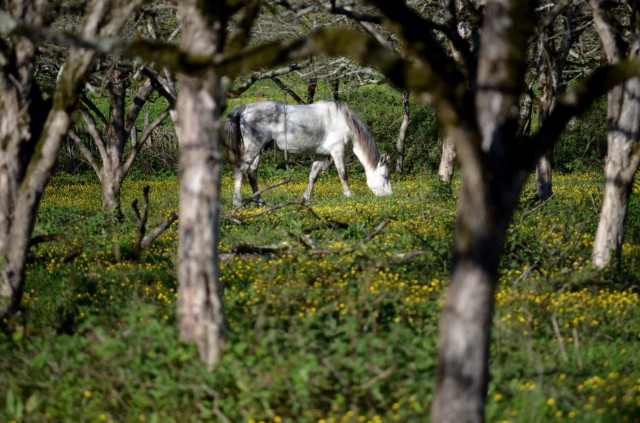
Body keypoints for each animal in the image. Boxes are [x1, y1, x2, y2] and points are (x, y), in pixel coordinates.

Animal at [222, 100, 390, 209]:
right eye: (385, 176)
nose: (389, 196)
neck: (342, 121)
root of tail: (246, 108)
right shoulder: (337, 151)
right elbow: (343, 174)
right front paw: (349, 195)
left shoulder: (320, 154)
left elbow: (313, 176)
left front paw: (305, 199)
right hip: (253, 148)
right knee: (240, 170)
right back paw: (238, 203)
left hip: (258, 150)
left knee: (252, 174)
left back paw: (260, 202)